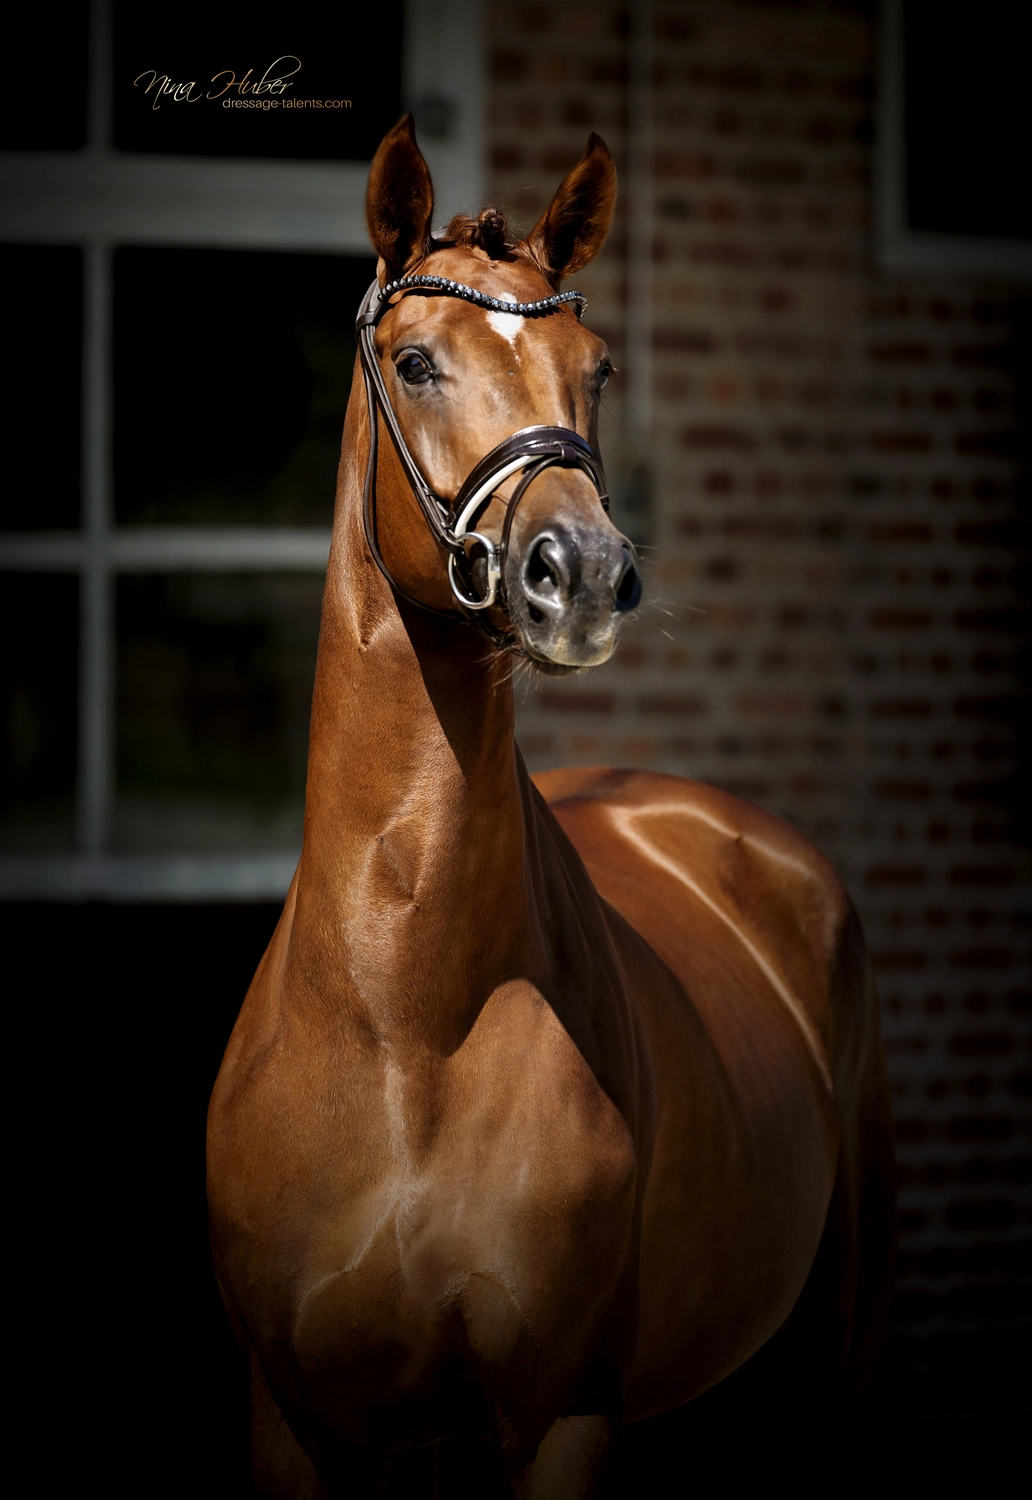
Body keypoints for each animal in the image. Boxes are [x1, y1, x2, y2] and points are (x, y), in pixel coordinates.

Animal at [207, 117, 896, 1498]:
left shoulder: (565, 1415)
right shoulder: (295, 1423)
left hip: (831, 1347)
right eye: (416, 362)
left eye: (599, 368)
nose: (582, 575)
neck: (401, 1019)